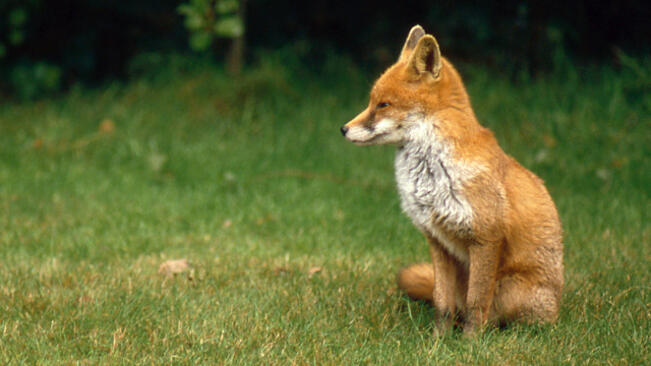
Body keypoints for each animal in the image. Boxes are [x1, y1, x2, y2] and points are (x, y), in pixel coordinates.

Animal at [342, 24, 564, 336]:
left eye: (383, 104)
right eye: (371, 102)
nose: (344, 129)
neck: (433, 173)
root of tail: (557, 305)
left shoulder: (486, 238)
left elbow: (476, 302)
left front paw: (471, 343)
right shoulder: (438, 240)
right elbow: (441, 302)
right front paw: (438, 340)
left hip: (511, 289)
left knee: (501, 318)